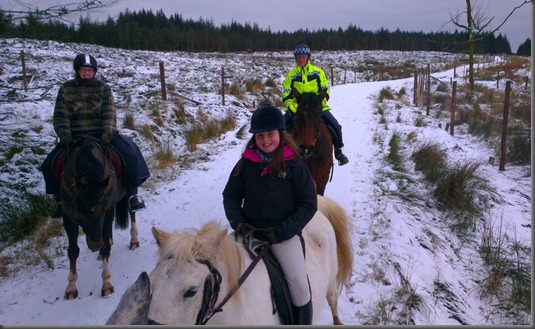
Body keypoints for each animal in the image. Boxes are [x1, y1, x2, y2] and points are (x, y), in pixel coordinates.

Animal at [59, 135, 139, 298]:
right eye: (79, 214)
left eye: (102, 210)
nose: (94, 245)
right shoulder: (68, 217)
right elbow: (72, 251)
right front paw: (71, 288)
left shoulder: (108, 211)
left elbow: (105, 247)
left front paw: (106, 284)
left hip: (130, 191)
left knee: (132, 212)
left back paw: (134, 241)